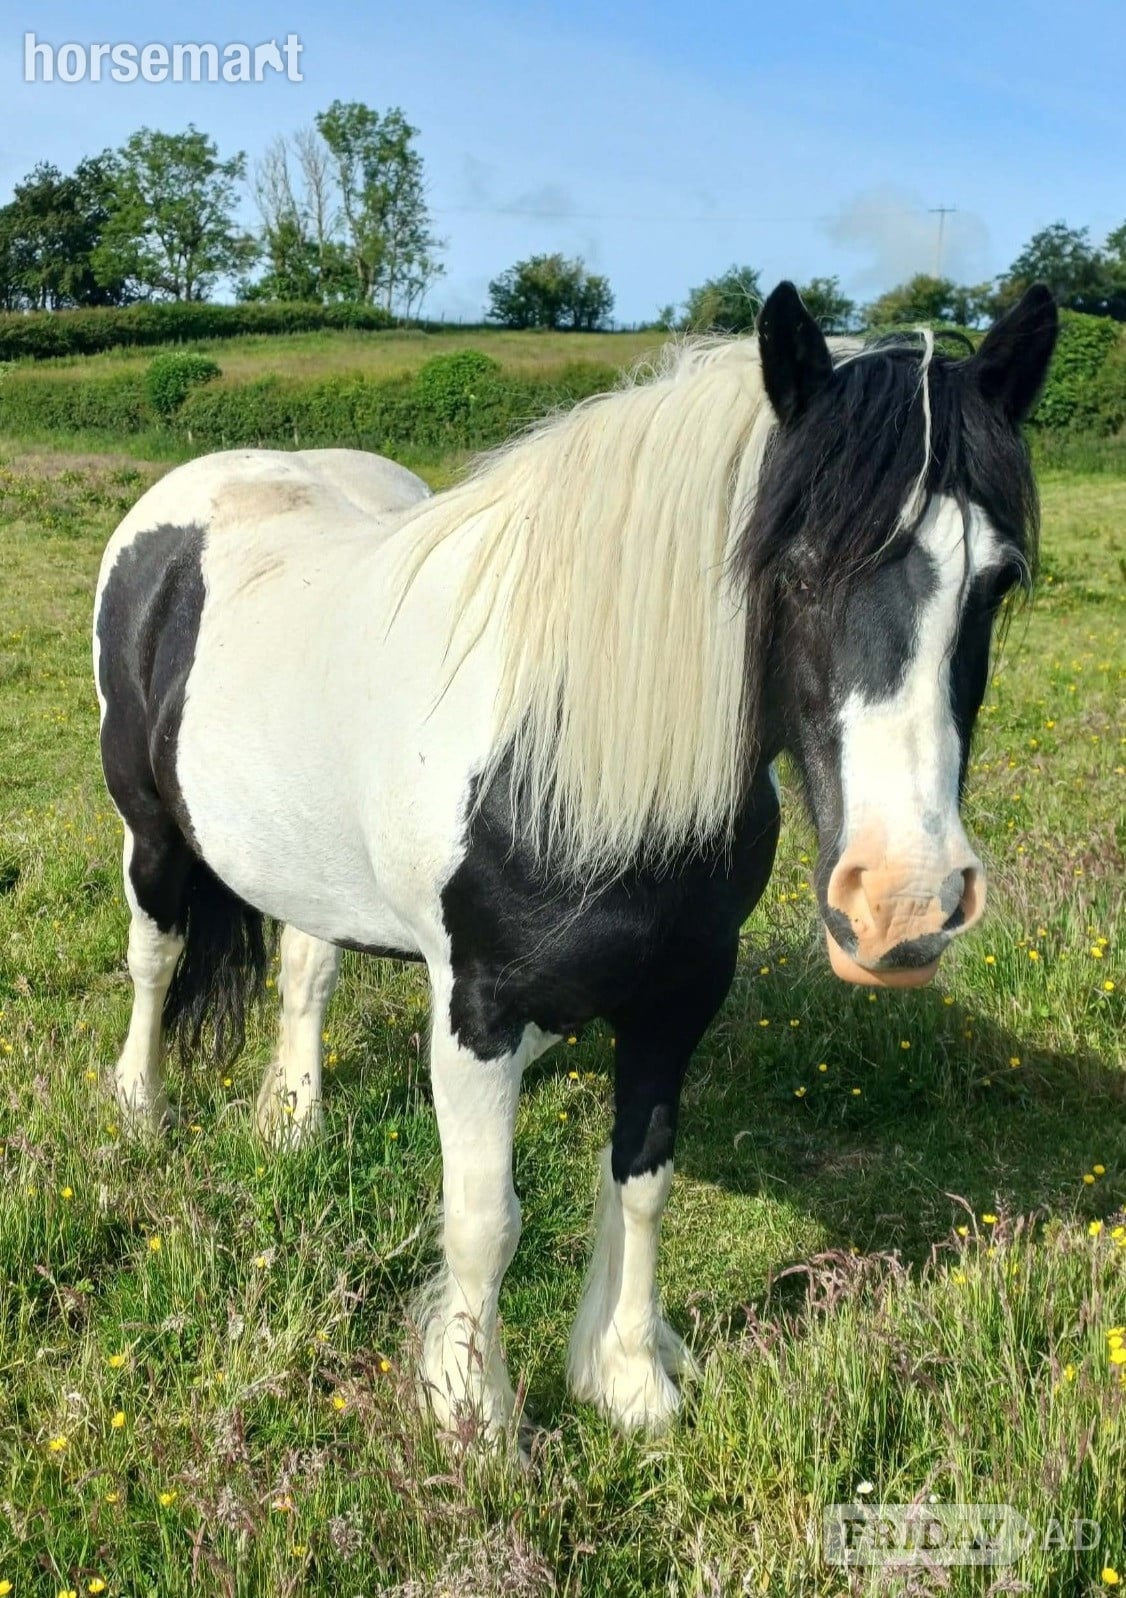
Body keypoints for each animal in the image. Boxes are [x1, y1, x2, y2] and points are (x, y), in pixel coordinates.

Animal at [92, 281, 1057, 1437]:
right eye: (795, 565)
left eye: (994, 581)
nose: (905, 903)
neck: (562, 748)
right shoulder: (478, 1007)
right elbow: (484, 1216)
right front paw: (474, 1413)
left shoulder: (680, 993)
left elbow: (641, 1181)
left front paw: (628, 1377)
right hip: (149, 831)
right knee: (155, 958)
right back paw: (140, 1110)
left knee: (305, 968)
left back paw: (293, 1121)